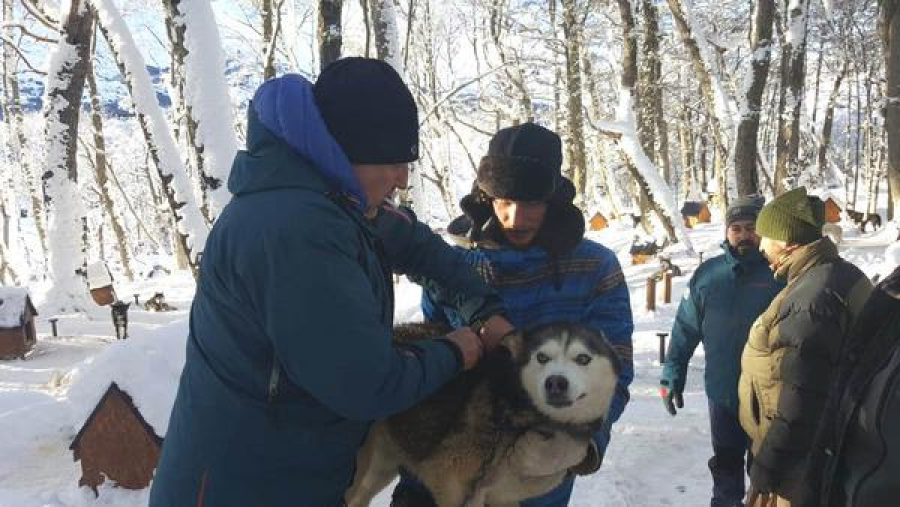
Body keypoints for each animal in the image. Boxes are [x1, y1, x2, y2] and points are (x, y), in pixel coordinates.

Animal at [345, 322, 621, 507]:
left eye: (582, 358)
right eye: (542, 357)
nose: (555, 382)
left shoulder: (501, 497)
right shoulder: (449, 482)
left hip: (383, 466)